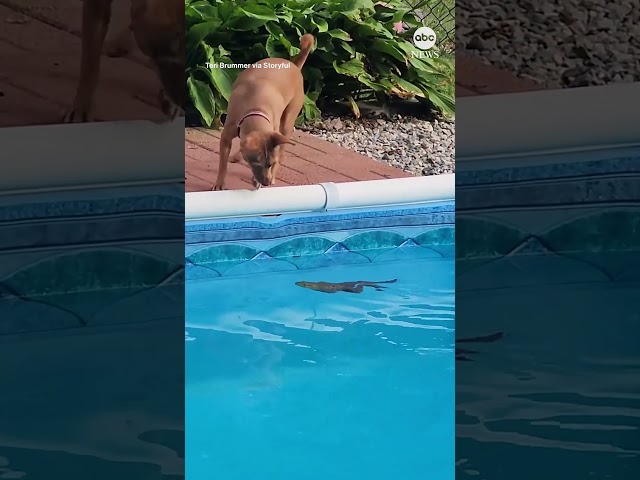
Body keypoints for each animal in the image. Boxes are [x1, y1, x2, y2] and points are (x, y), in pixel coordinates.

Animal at [214, 33, 316, 190]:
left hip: (286, 124)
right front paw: (219, 183)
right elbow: (222, 164)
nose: (266, 182)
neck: (254, 109)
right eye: (256, 164)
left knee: (282, 148)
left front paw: (258, 180)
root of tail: (294, 66)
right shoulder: (226, 137)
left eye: (270, 164)